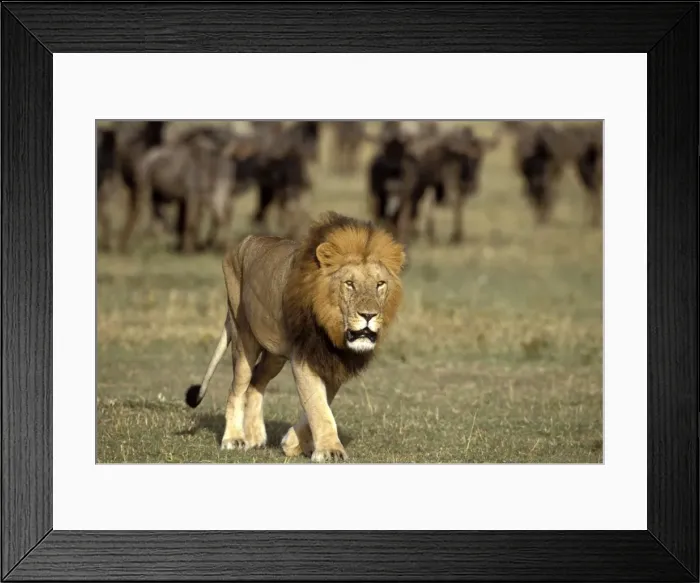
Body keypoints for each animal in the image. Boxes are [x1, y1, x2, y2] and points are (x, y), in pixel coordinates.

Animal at [185, 211, 406, 462]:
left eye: (380, 284)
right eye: (349, 284)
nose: (369, 315)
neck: (332, 330)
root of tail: (241, 243)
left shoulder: (333, 362)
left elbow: (321, 404)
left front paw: (293, 443)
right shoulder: (305, 357)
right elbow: (318, 406)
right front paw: (330, 450)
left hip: (275, 354)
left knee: (256, 382)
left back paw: (255, 437)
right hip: (243, 337)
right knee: (237, 387)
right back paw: (233, 438)